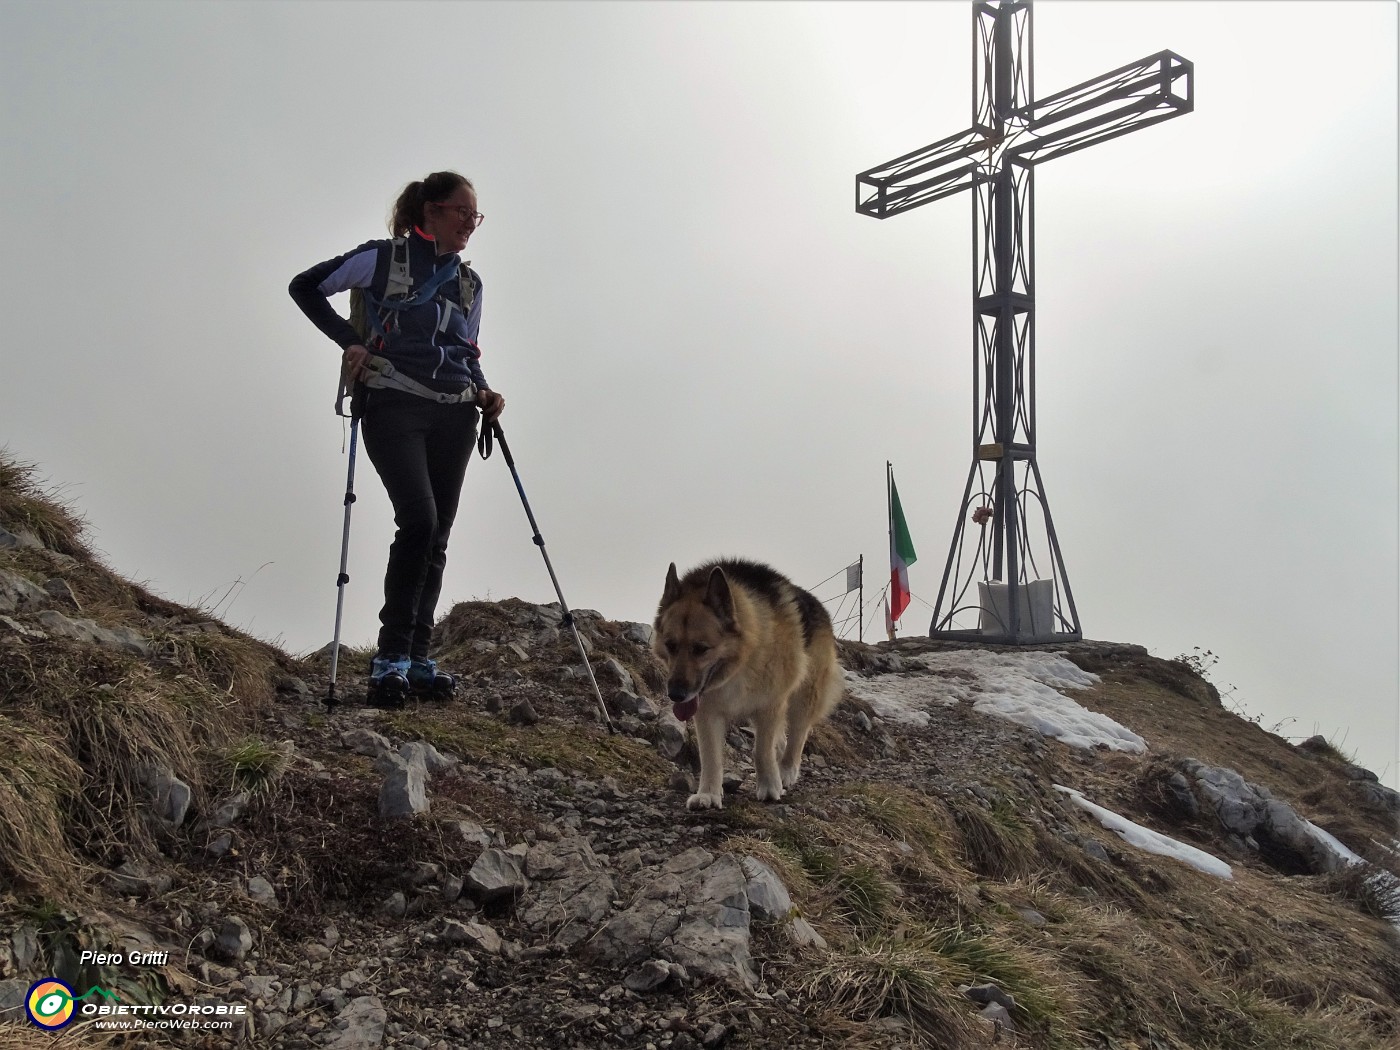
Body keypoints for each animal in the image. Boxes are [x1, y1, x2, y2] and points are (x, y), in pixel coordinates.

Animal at [652, 560, 840, 812]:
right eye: (670, 645)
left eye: (701, 649)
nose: (675, 694)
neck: (742, 661)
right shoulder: (707, 713)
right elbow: (710, 756)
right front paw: (708, 794)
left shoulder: (770, 705)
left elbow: (761, 750)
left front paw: (769, 786)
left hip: (804, 698)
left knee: (797, 735)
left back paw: (786, 771)